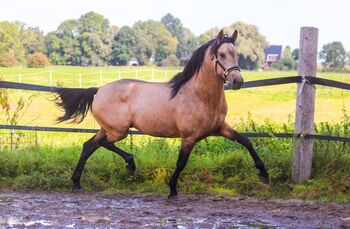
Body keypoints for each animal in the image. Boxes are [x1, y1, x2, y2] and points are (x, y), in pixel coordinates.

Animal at [54, 30, 270, 199]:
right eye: (222, 54)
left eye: (236, 54)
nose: (237, 81)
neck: (198, 95)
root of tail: (99, 90)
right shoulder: (189, 137)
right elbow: (181, 163)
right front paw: (172, 190)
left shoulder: (220, 128)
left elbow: (246, 141)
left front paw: (264, 174)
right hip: (118, 131)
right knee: (102, 144)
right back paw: (130, 165)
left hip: (108, 129)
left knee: (88, 146)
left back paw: (76, 183)